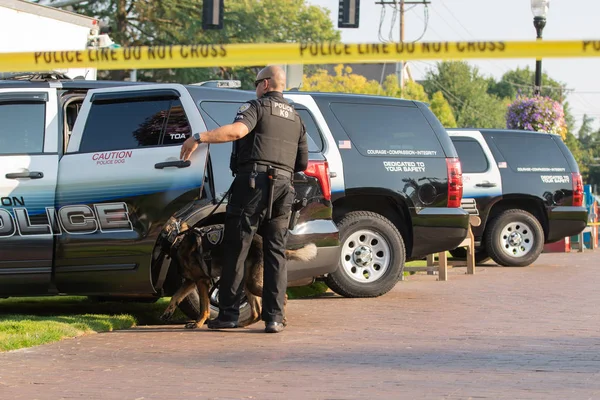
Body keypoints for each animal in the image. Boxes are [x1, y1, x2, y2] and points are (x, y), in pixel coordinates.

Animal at [159, 220, 318, 330]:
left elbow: (204, 307)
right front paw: (167, 312)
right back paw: (240, 324)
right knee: (256, 312)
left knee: (282, 297)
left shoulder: (202, 281)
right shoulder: (191, 281)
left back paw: (280, 320)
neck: (179, 238)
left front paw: (198, 323)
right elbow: (175, 296)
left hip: (253, 284)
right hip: (247, 283)